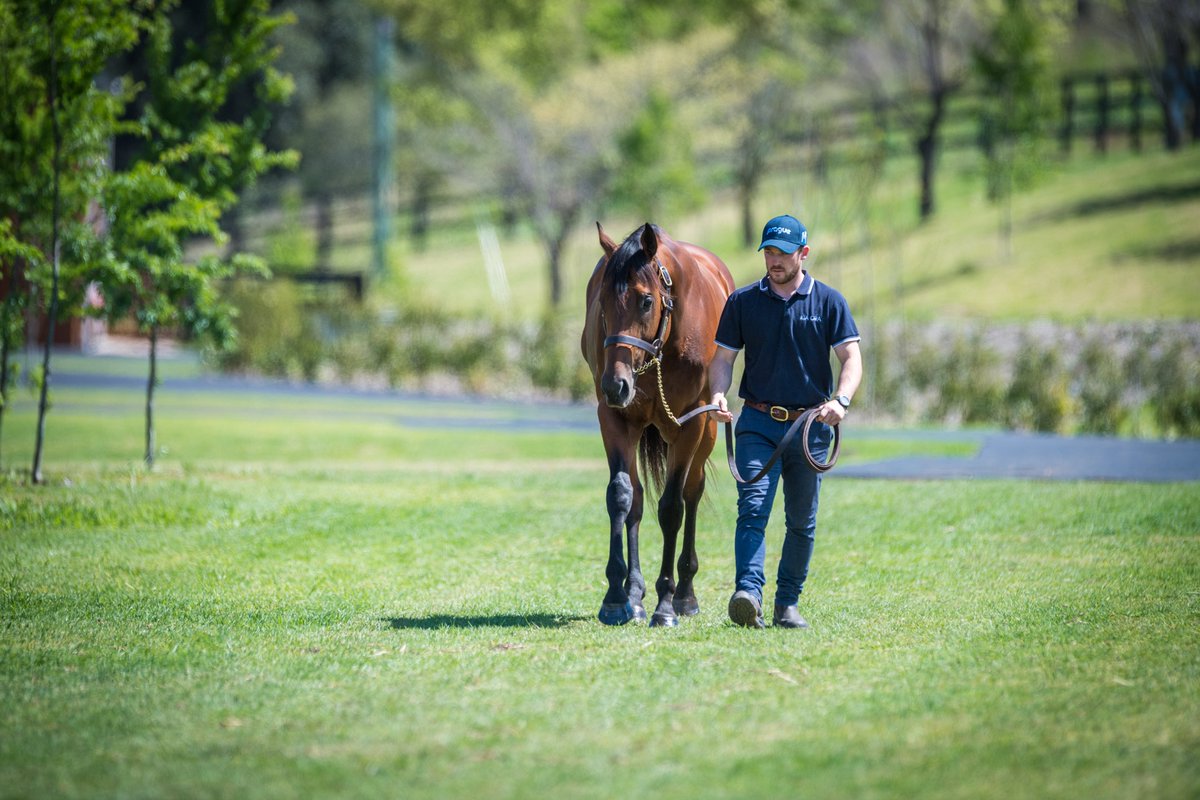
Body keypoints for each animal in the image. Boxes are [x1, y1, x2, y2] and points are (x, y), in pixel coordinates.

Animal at [581, 222, 735, 627]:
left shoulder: (691, 424)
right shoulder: (614, 418)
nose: (615, 384)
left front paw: (666, 603)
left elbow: (671, 508)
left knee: (692, 492)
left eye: (646, 301)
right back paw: (634, 593)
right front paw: (616, 597)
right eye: (602, 302)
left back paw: (684, 595)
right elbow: (621, 496)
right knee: (635, 499)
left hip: (708, 431)